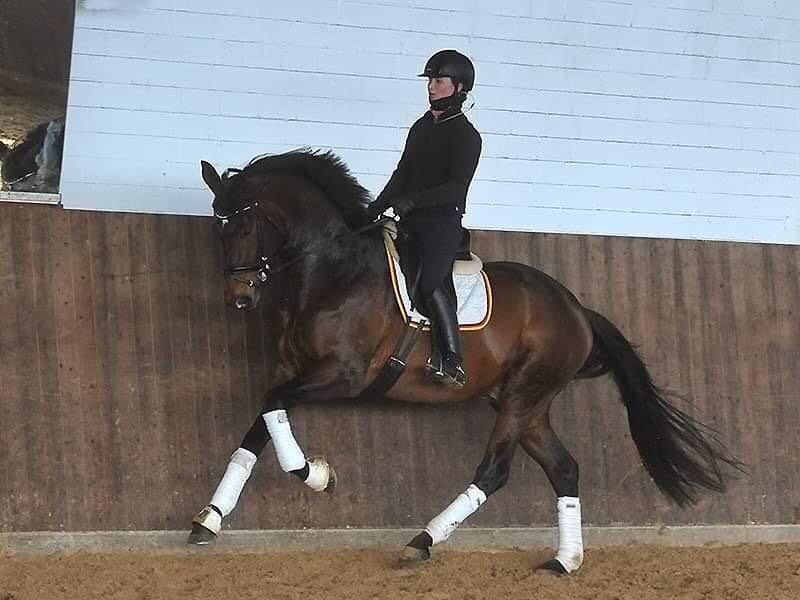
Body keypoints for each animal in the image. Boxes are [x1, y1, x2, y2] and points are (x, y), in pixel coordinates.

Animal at [191, 149, 740, 572]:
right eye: (217, 228)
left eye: (246, 225)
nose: (239, 299)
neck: (333, 272)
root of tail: (575, 308)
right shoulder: (292, 371)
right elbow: (260, 426)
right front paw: (209, 520)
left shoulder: (343, 375)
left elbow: (273, 411)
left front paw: (317, 474)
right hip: (527, 404)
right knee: (564, 469)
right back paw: (564, 561)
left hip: (523, 395)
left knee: (494, 471)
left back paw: (422, 541)